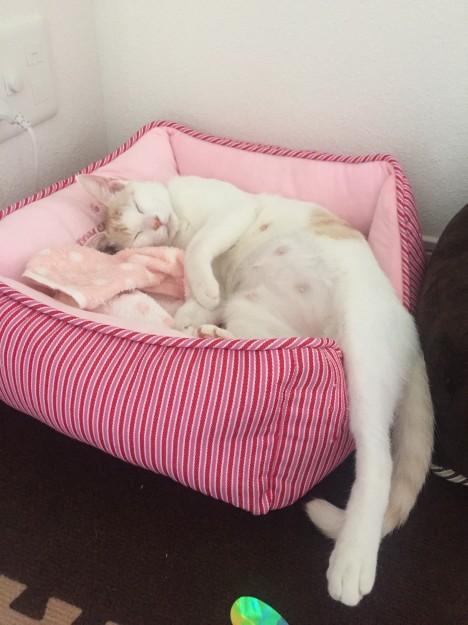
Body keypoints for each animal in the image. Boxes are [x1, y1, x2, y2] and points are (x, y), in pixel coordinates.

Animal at [78, 173, 434, 607]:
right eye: (139, 234)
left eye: (143, 209)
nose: (158, 223)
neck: (181, 222)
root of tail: (408, 326)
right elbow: (198, 297)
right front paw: (190, 315)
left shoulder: (234, 209)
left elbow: (200, 247)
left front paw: (200, 289)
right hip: (254, 313)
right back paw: (213, 335)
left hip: (362, 347)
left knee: (377, 458)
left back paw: (352, 560)